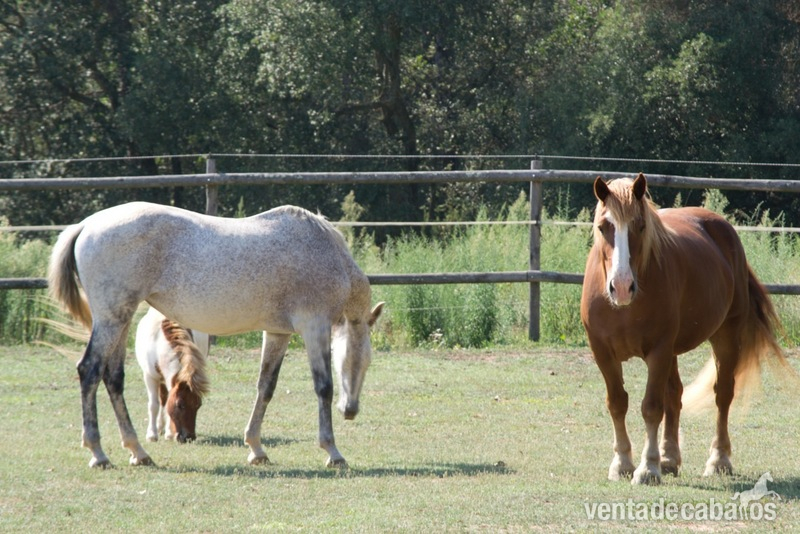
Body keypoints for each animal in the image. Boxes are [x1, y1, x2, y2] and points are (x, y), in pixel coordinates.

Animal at [135, 306, 210, 443]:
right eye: (180, 405)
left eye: (198, 405)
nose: (189, 437)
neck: (159, 345)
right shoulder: (149, 377)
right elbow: (153, 405)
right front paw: (151, 435)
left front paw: (169, 434)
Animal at [580, 173, 793, 485]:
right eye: (602, 226)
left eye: (640, 226)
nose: (621, 286)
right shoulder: (602, 352)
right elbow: (618, 403)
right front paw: (622, 464)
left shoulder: (658, 350)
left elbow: (651, 407)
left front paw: (648, 468)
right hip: (672, 352)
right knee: (674, 394)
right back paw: (669, 458)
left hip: (724, 337)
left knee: (722, 395)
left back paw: (718, 460)